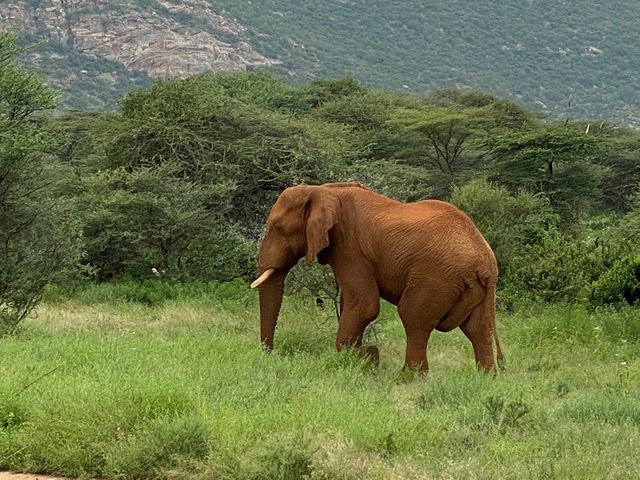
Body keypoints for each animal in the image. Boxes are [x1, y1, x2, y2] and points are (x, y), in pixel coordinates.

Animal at [250, 182, 504, 374]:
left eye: (278, 227)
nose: (269, 353)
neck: (322, 190)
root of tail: (486, 262)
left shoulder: (351, 248)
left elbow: (364, 305)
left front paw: (360, 357)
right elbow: (352, 303)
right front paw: (362, 355)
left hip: (436, 277)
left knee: (414, 318)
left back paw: (409, 376)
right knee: (478, 329)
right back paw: (485, 378)